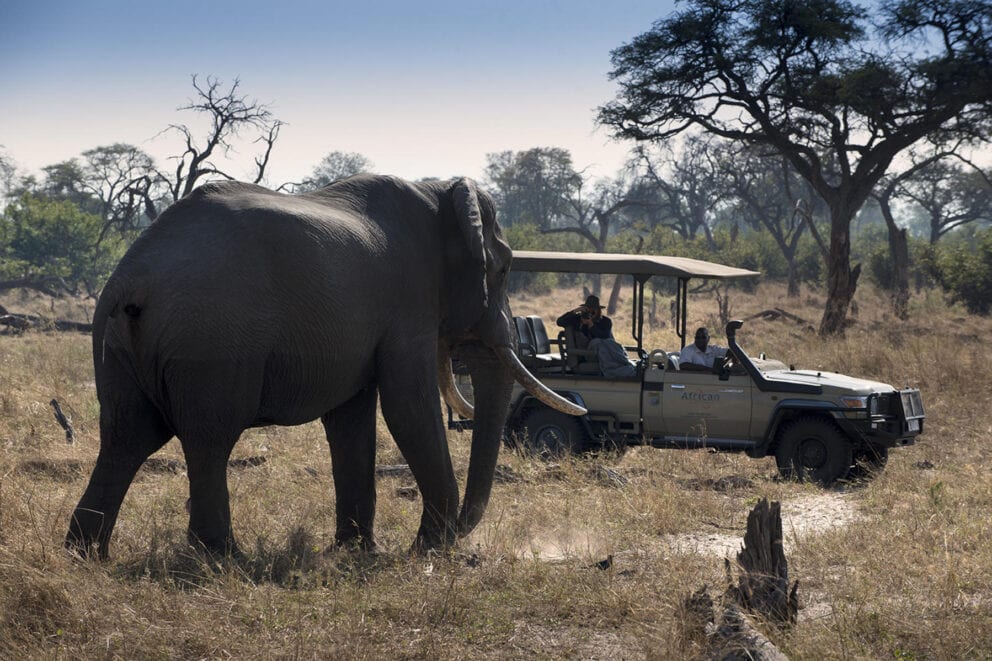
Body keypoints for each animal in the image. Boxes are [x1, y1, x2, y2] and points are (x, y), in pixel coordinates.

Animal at [65, 174, 583, 558]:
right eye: (504, 270)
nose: (460, 535)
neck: (441, 191)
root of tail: (129, 277)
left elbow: (352, 418)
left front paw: (359, 553)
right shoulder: (408, 302)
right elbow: (408, 408)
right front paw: (426, 553)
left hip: (123, 346)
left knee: (127, 437)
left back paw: (87, 555)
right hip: (210, 341)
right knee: (208, 440)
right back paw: (223, 559)